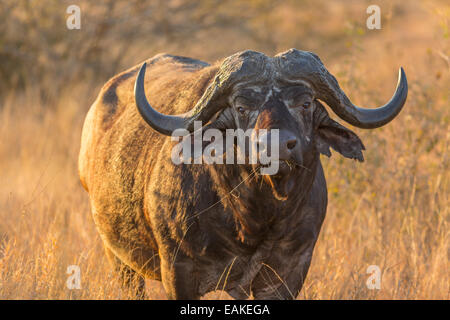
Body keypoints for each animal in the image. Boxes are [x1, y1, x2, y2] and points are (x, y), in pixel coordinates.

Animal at [78, 48, 408, 298]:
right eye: (241, 107)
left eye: (305, 103)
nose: (276, 146)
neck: (254, 217)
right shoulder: (177, 271)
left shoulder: (289, 270)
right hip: (119, 260)